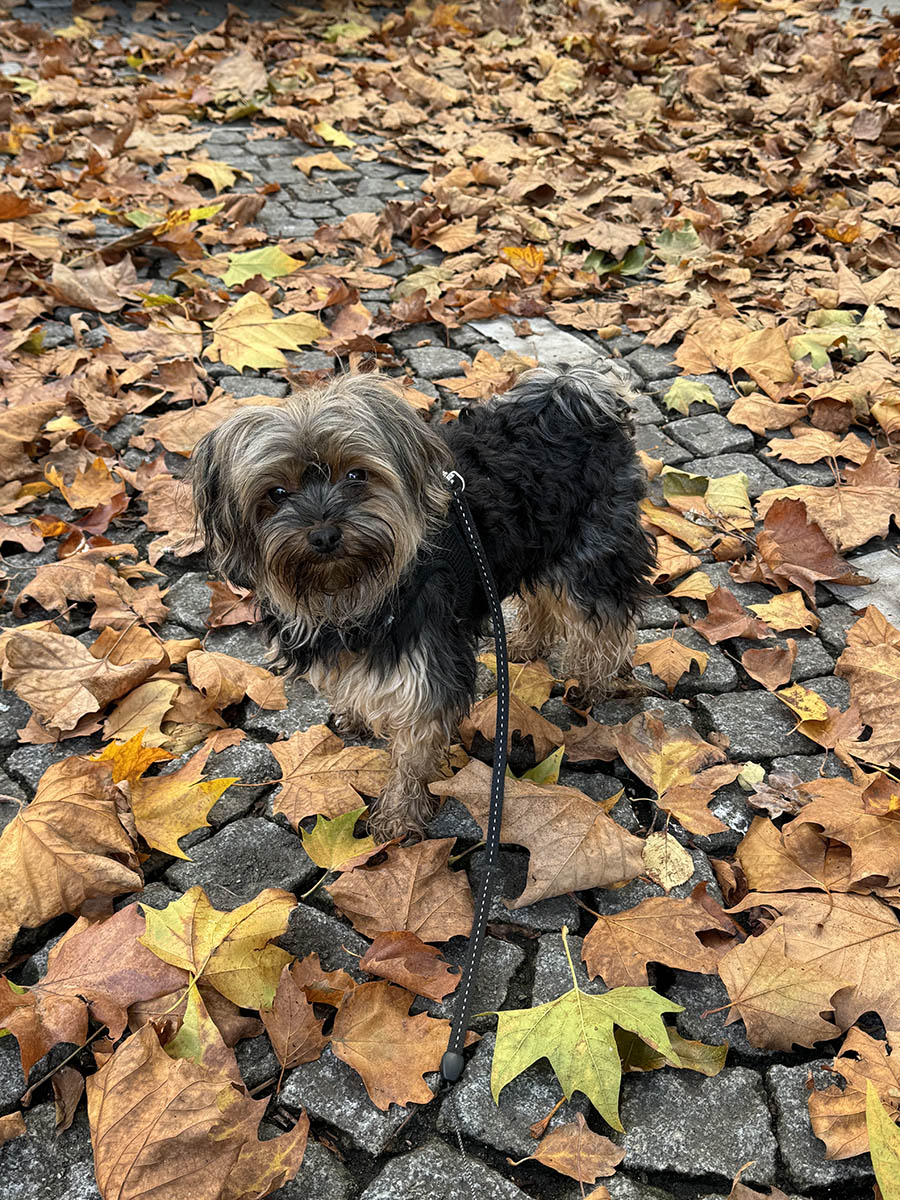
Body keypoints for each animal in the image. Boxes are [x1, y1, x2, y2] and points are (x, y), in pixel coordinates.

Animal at [190, 363, 655, 841]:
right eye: (276, 493)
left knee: (606, 622)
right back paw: (525, 646)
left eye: (356, 475)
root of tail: (573, 396)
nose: (323, 535)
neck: (348, 596)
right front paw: (354, 716)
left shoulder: (426, 665)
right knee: (544, 596)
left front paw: (398, 816)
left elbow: (413, 751)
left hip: (595, 549)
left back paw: (592, 682)